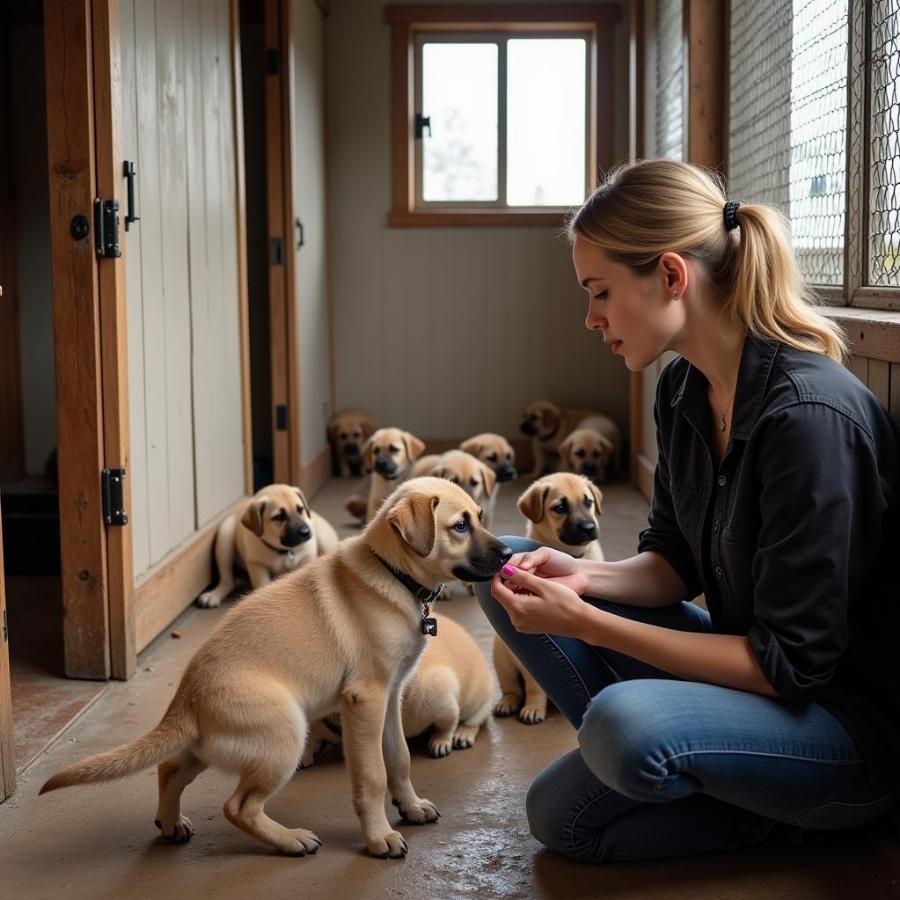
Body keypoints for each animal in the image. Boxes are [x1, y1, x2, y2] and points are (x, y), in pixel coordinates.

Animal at [196, 486, 338, 612]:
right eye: (279, 517)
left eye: (300, 509)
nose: (305, 532)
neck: (284, 550)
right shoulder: (257, 565)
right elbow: (262, 587)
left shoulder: (307, 557)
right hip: (225, 536)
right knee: (227, 580)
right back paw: (213, 595)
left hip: (325, 540)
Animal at [306, 608, 496, 764]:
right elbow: (313, 733)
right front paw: (308, 751)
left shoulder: (436, 689)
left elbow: (448, 721)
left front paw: (441, 740)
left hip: (476, 699)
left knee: (476, 717)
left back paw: (463, 733)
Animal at [492, 474, 604, 728]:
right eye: (560, 508)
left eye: (588, 502)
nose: (589, 528)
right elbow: (534, 686)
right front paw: (534, 707)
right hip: (501, 657)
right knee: (512, 687)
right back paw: (508, 703)